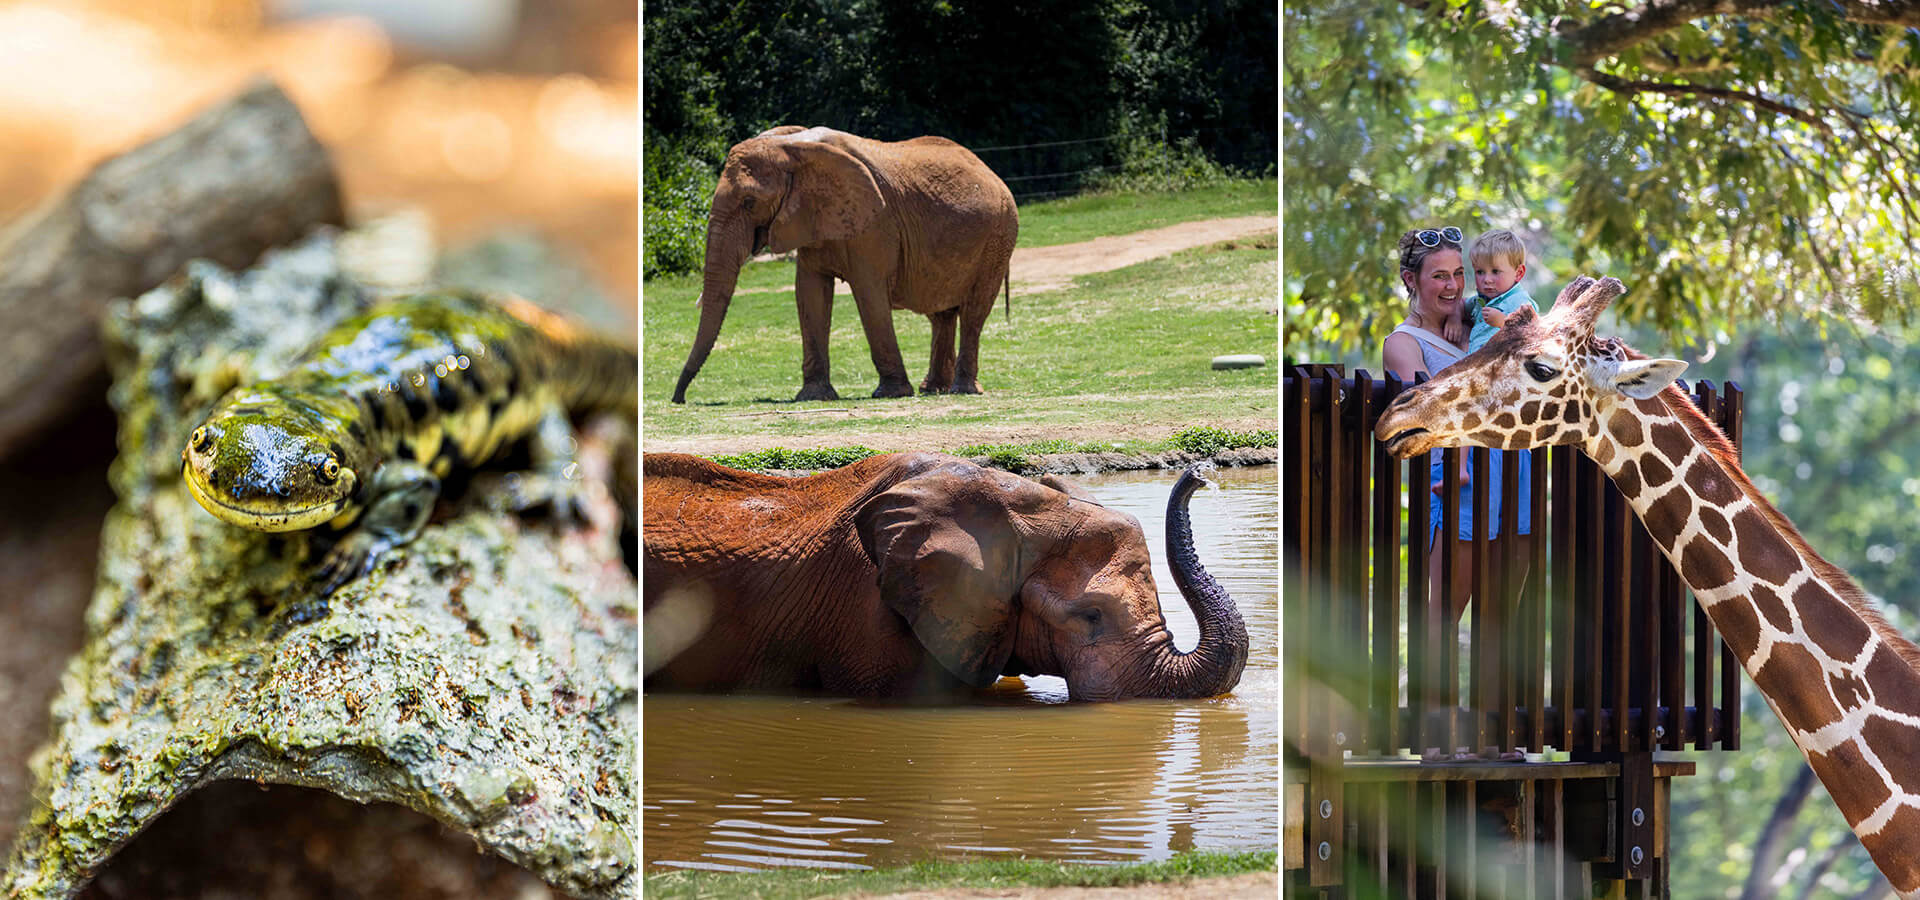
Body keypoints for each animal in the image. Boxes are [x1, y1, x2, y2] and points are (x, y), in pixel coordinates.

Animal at [670, 126, 1019, 404]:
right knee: (942, 314)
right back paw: (933, 389)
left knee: (973, 312)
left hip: (999, 236)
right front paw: (813, 396)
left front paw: (890, 393)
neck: (792, 148)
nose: (679, 399)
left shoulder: (875, 222)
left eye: (748, 202)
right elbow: (809, 294)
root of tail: (992, 173)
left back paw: (963, 390)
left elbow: (869, 293)